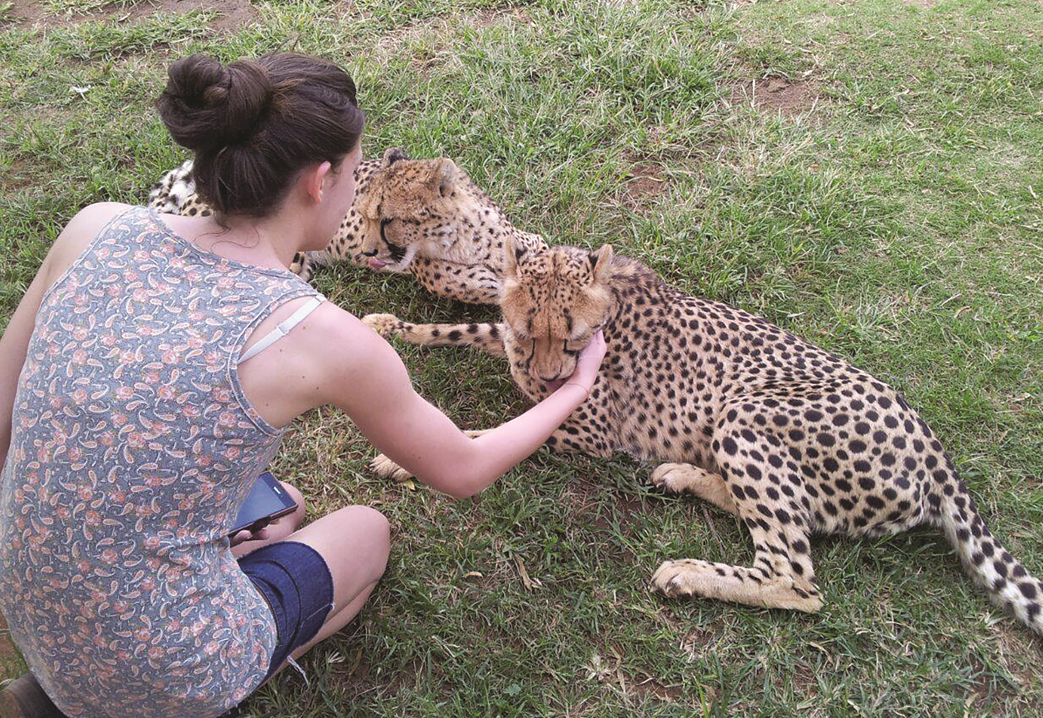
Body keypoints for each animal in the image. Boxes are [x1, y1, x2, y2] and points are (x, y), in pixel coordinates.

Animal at [365, 241, 1043, 634]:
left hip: (746, 412)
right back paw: (685, 475)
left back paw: (688, 571)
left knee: (796, 575)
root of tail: (935, 453)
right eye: (533, 331)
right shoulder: (512, 344)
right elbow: (472, 329)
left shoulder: (589, 430)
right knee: (800, 517)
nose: (551, 374)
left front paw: (404, 460)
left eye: (576, 337)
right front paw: (388, 326)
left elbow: (493, 433)